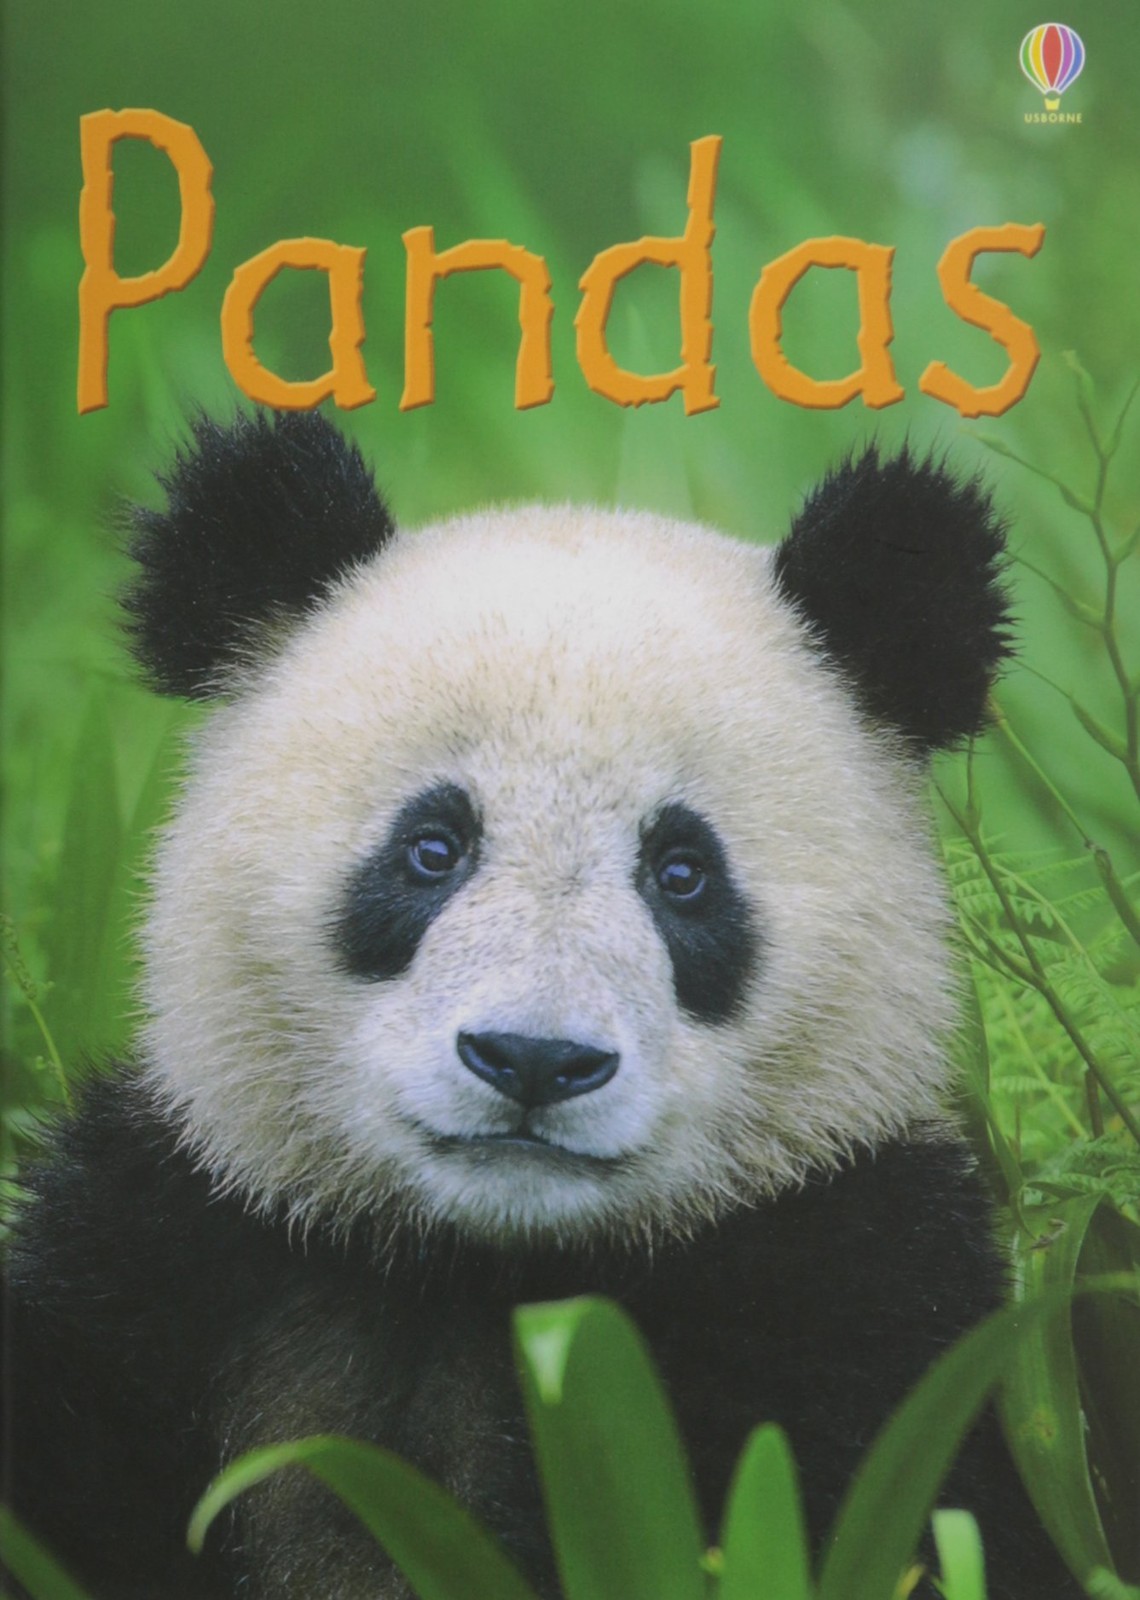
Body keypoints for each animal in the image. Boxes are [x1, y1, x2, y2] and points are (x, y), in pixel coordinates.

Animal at [5, 410, 1082, 1600]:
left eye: (682, 873)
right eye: (432, 848)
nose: (531, 1059)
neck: (485, 1267)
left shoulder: (865, 1304)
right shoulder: (175, 1250)